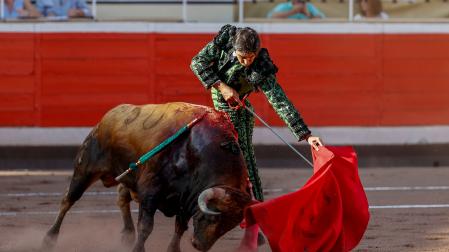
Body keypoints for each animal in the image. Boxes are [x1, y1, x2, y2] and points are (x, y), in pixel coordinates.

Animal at [42, 102, 252, 252]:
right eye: (212, 218)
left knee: (121, 196)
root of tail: (106, 118)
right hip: (85, 168)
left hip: (128, 176)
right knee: (68, 200)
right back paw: (49, 238)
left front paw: (173, 250)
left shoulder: (186, 197)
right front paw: (138, 249)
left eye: (228, 227)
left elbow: (180, 227)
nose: (199, 246)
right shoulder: (151, 189)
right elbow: (146, 226)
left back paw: (127, 234)